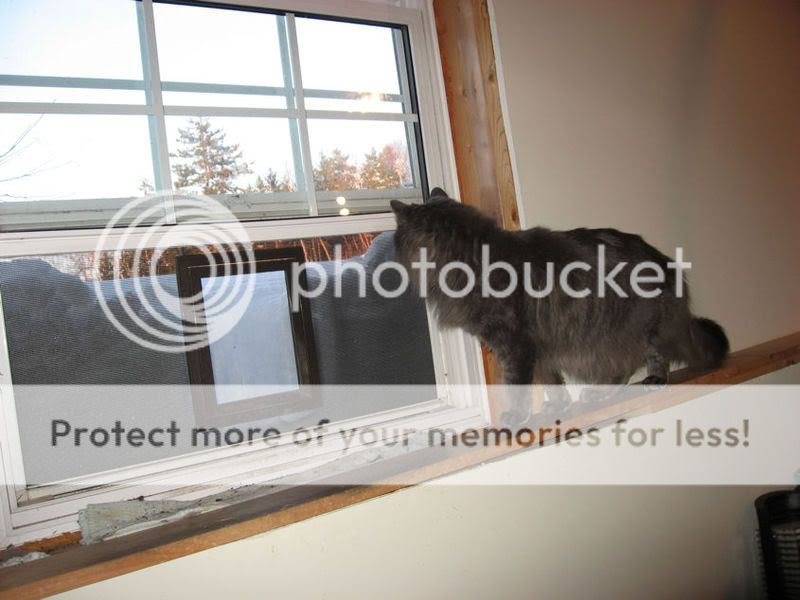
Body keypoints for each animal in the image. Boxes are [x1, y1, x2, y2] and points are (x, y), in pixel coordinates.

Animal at [390, 188, 729, 424]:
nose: (391, 252)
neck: (472, 260)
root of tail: (665, 262)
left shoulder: (515, 343)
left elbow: (516, 384)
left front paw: (516, 418)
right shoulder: (539, 348)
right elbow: (551, 380)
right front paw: (558, 406)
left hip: (635, 328)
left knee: (651, 357)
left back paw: (651, 381)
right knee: (622, 369)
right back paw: (598, 394)